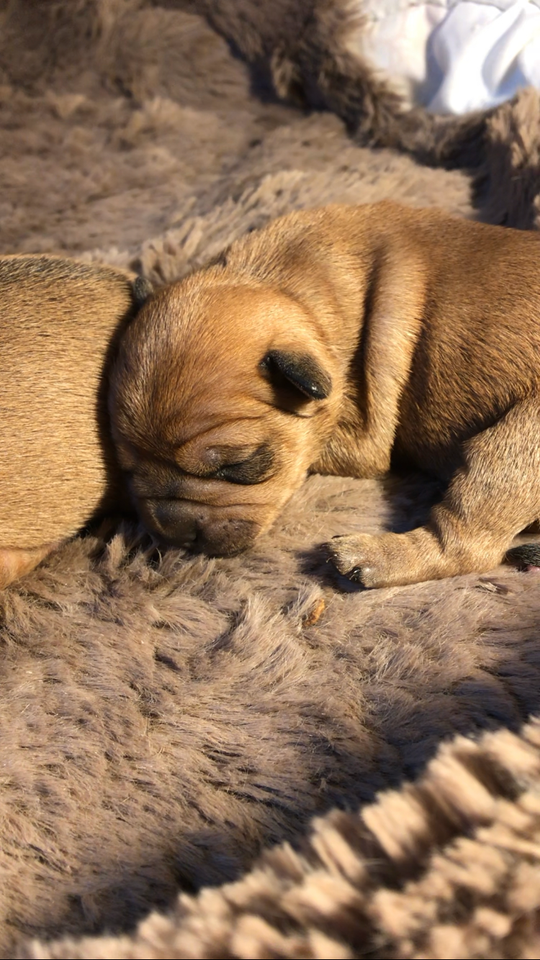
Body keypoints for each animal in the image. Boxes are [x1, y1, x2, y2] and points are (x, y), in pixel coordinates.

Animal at [107, 203, 540, 588]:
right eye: (126, 469)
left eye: (237, 466)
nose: (175, 537)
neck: (293, 290)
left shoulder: (362, 438)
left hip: (516, 442)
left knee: (466, 544)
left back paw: (371, 556)